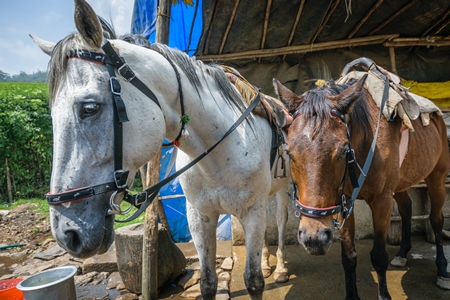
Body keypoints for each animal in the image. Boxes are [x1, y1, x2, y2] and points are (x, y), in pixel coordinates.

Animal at [32, 0, 292, 298]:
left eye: (89, 108)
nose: (67, 234)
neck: (219, 154)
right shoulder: (199, 216)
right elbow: (208, 282)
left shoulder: (251, 213)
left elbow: (253, 280)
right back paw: (268, 262)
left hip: (283, 189)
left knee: (280, 221)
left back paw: (280, 268)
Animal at [274, 71, 450, 300]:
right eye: (289, 152)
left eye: (343, 150)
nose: (314, 238)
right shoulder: (342, 203)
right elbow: (349, 256)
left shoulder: (382, 200)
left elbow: (379, 256)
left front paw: (384, 295)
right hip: (400, 184)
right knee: (406, 209)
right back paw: (402, 253)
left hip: (436, 177)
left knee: (436, 220)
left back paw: (442, 270)